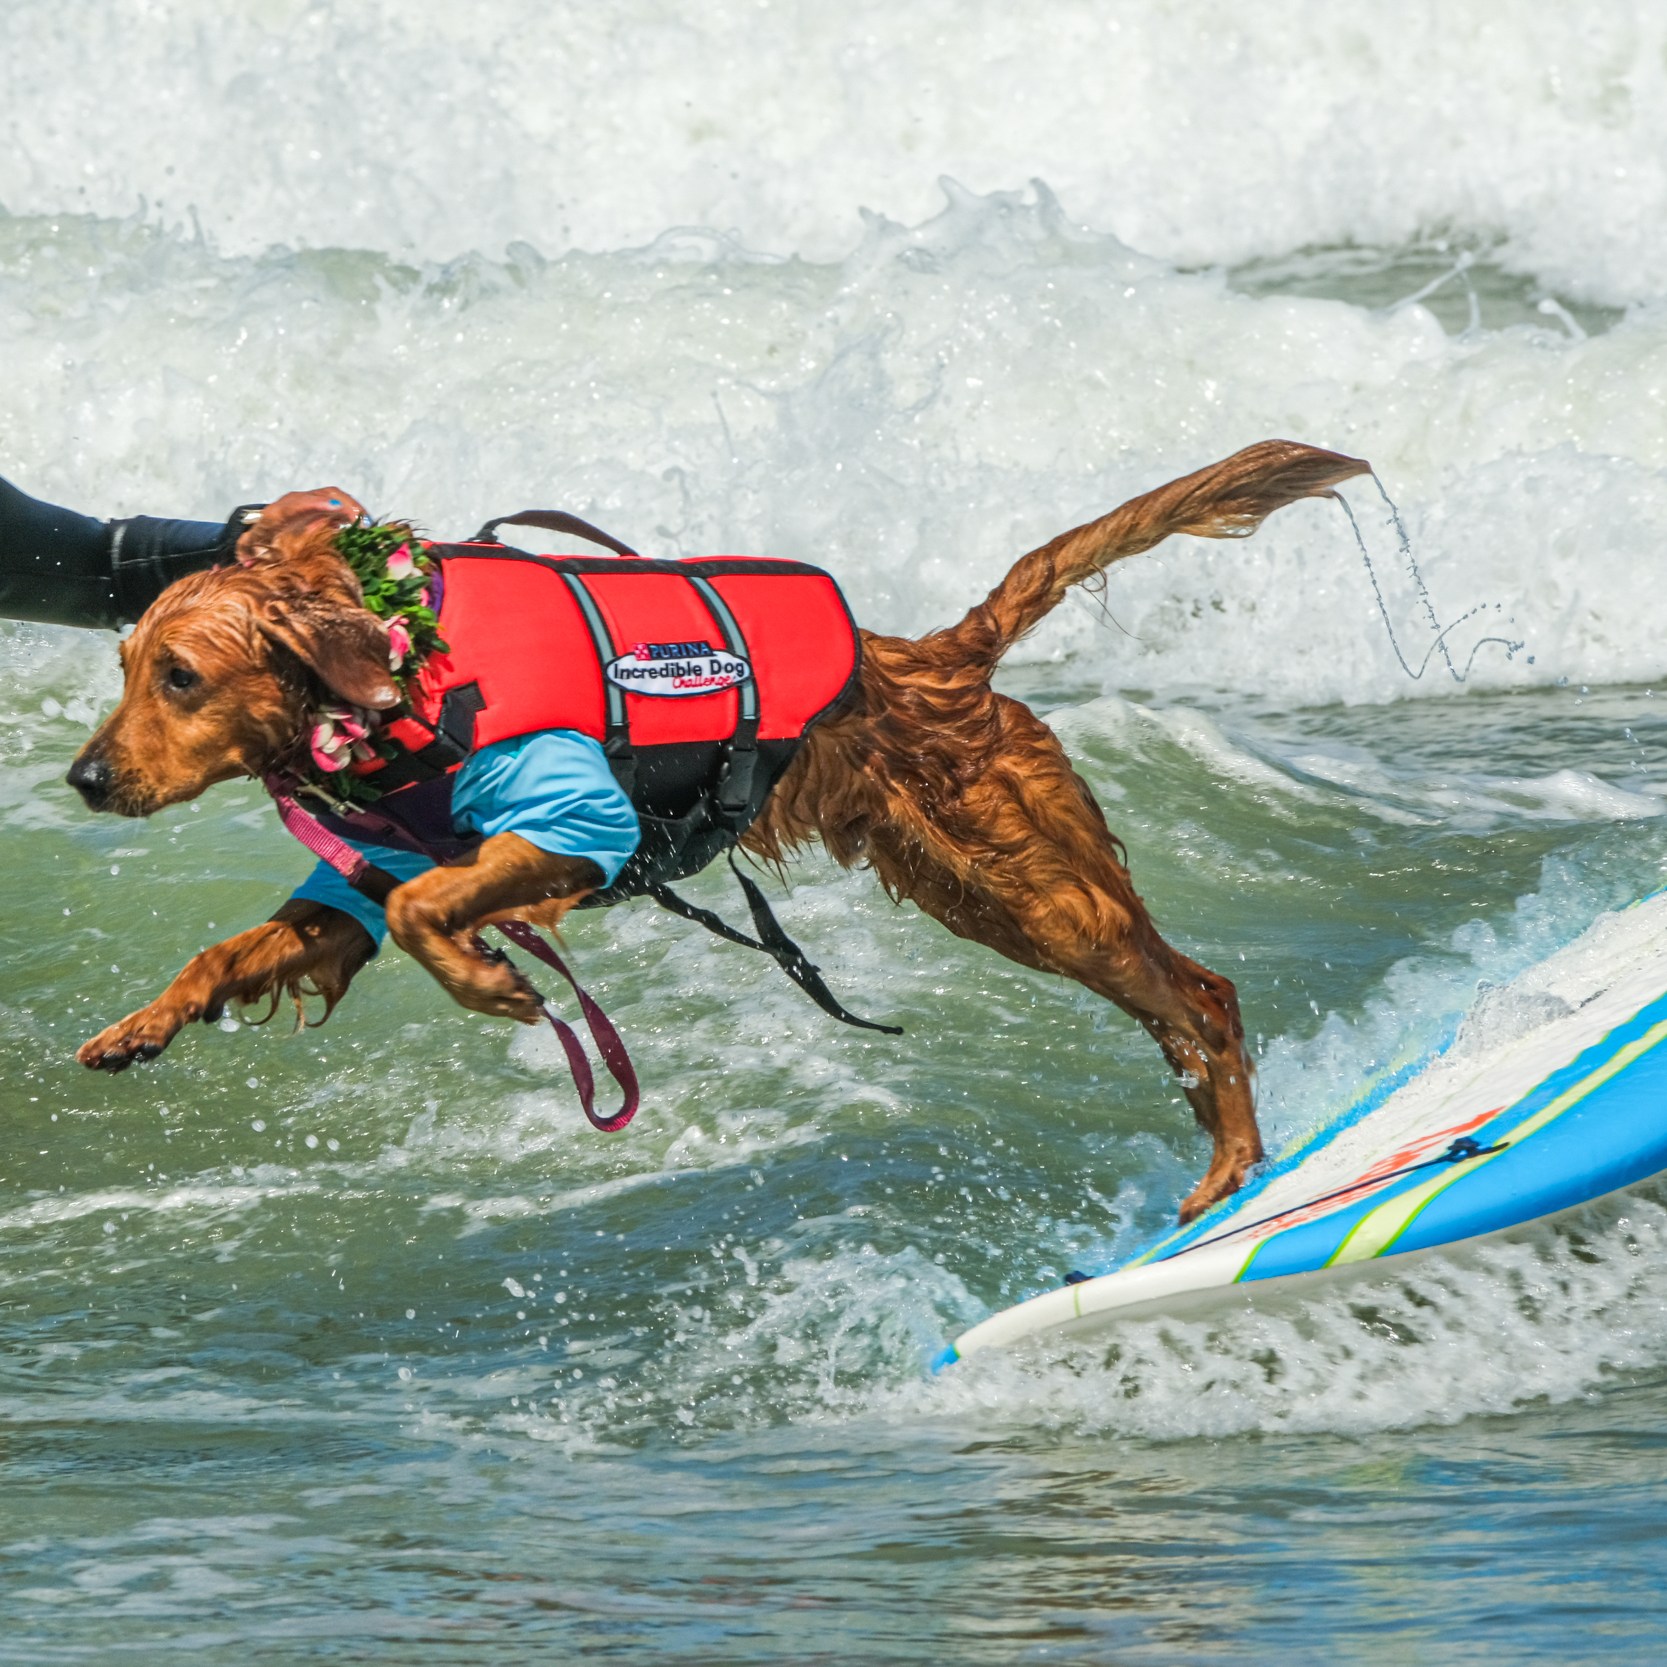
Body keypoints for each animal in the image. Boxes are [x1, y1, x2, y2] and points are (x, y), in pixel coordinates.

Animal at [65, 440, 1366, 1226]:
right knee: (1174, 1005)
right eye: (124, 665)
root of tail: (941, 658)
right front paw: (143, 1023)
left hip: (1029, 881)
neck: (402, 677)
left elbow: (425, 902)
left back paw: (1231, 1161)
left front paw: (491, 980)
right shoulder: (358, 874)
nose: (82, 777)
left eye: (181, 676)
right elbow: (260, 940)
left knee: (1200, 995)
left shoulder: (574, 819)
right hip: (980, 890)